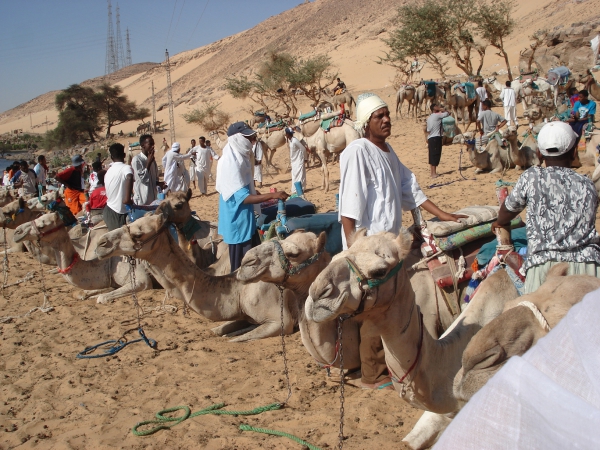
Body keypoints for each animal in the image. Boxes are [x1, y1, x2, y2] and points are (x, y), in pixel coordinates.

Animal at [12, 213, 154, 304]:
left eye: (42, 225)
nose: (17, 232)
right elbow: (81, 293)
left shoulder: (142, 280)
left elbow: (102, 298)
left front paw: (99, 295)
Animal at [96, 213, 300, 342]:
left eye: (138, 233)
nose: (101, 243)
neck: (238, 289)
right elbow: (219, 330)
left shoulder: (279, 322)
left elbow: (236, 339)